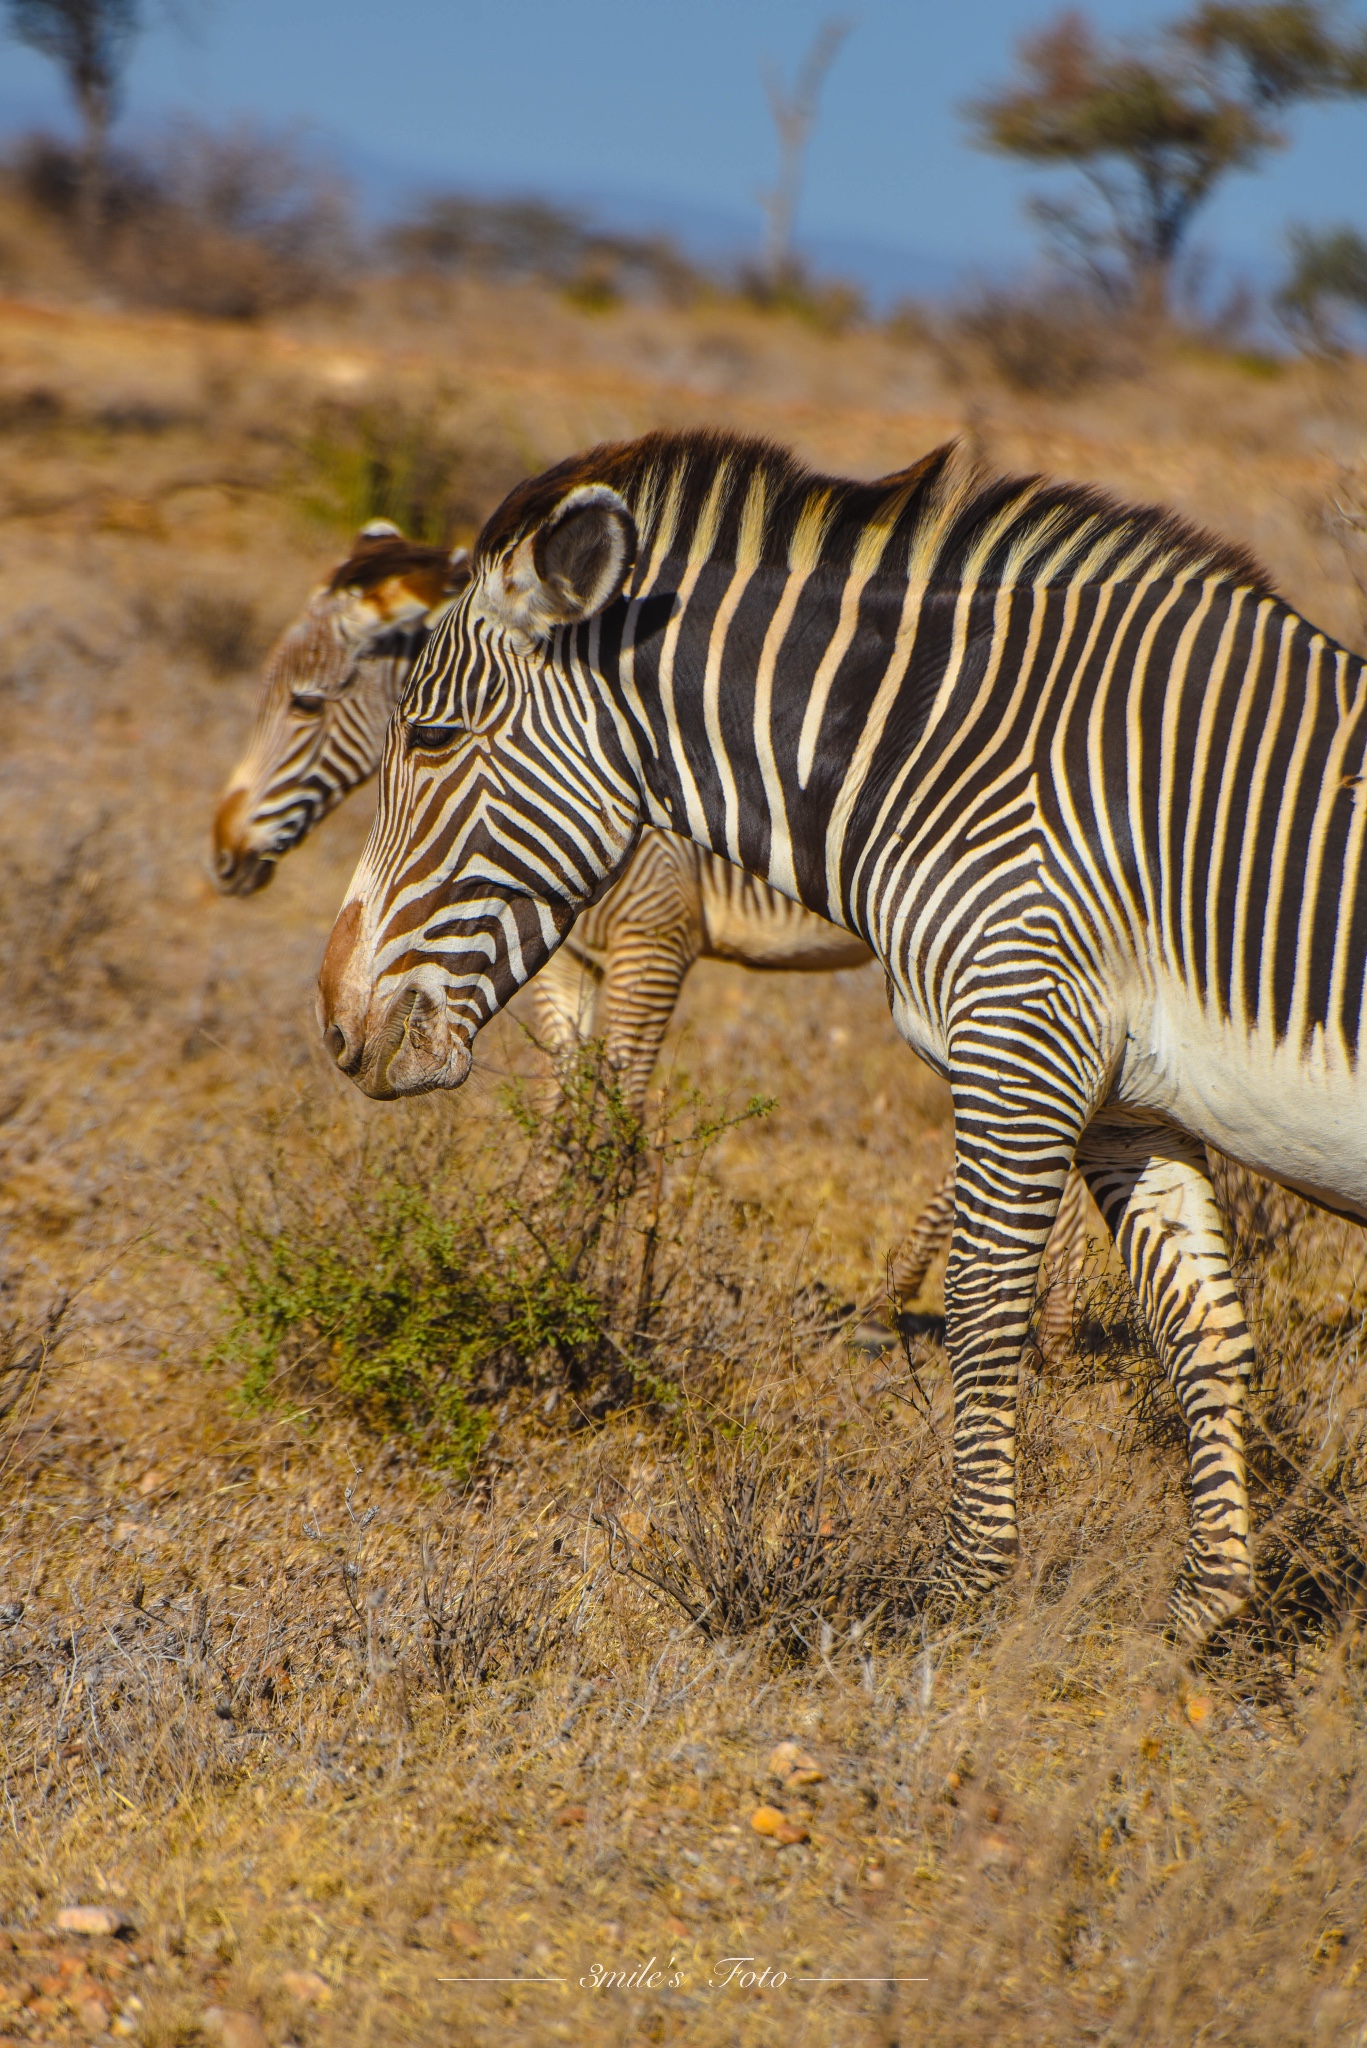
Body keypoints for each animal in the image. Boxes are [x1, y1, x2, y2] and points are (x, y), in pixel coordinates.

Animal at [315, 432, 1367, 1646]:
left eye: (432, 737)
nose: (335, 1023)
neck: (952, 761)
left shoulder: (1021, 1042)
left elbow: (981, 1306)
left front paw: (956, 1596)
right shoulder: (1126, 1104)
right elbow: (1200, 1329)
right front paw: (1200, 1613)